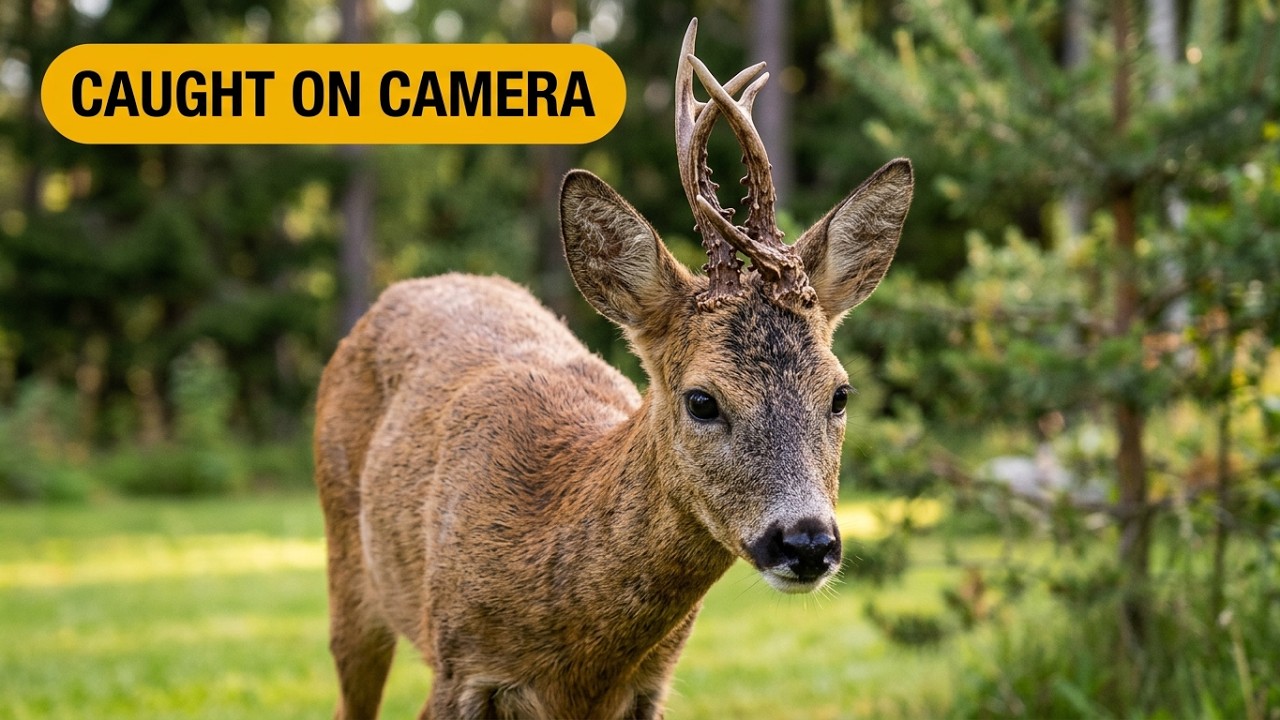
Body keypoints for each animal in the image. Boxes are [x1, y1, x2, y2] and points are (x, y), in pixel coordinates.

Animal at [313, 18, 913, 720]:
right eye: (702, 399)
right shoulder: (457, 668)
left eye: (840, 393)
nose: (808, 542)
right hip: (348, 571)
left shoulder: (649, 687)